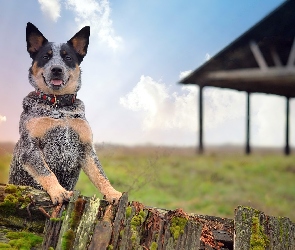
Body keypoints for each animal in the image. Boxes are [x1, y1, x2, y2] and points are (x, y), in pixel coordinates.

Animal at [8, 22, 122, 205]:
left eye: (67, 58)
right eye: (46, 57)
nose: (56, 69)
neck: (59, 106)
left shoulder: (86, 148)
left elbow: (100, 175)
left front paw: (113, 193)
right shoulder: (30, 148)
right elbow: (46, 172)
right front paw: (59, 192)